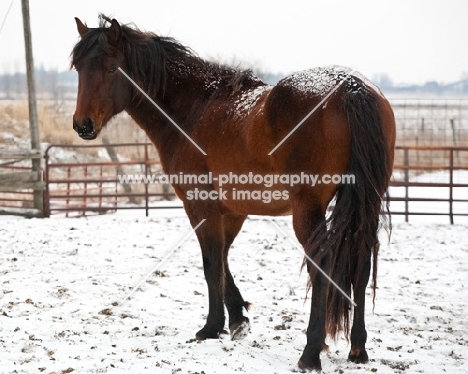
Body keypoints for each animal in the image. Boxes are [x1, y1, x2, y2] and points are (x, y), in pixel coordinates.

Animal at [71, 15, 396, 372]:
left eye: (112, 68)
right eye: (79, 68)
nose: (83, 125)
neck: (194, 109)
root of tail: (350, 88)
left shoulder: (200, 206)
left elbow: (211, 262)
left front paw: (211, 327)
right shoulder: (233, 210)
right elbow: (224, 258)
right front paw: (238, 318)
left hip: (307, 210)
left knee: (321, 265)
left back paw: (310, 352)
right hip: (365, 204)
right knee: (361, 264)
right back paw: (358, 348)